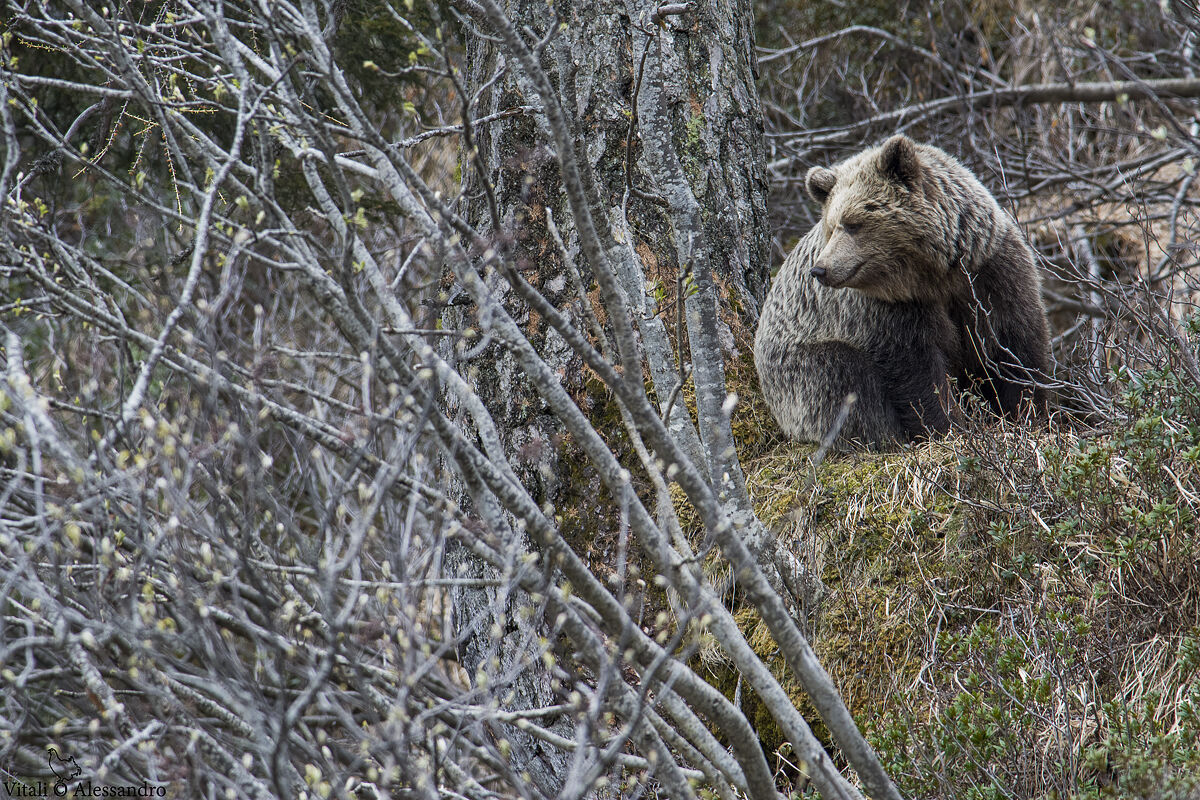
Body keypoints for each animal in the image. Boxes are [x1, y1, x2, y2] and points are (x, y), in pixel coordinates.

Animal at [753, 134, 1051, 448]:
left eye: (853, 223)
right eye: (831, 227)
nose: (820, 270)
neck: (935, 276)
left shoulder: (990, 272)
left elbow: (1014, 343)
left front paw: (1026, 412)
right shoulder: (886, 309)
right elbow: (914, 368)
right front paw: (946, 426)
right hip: (795, 372)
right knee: (842, 375)